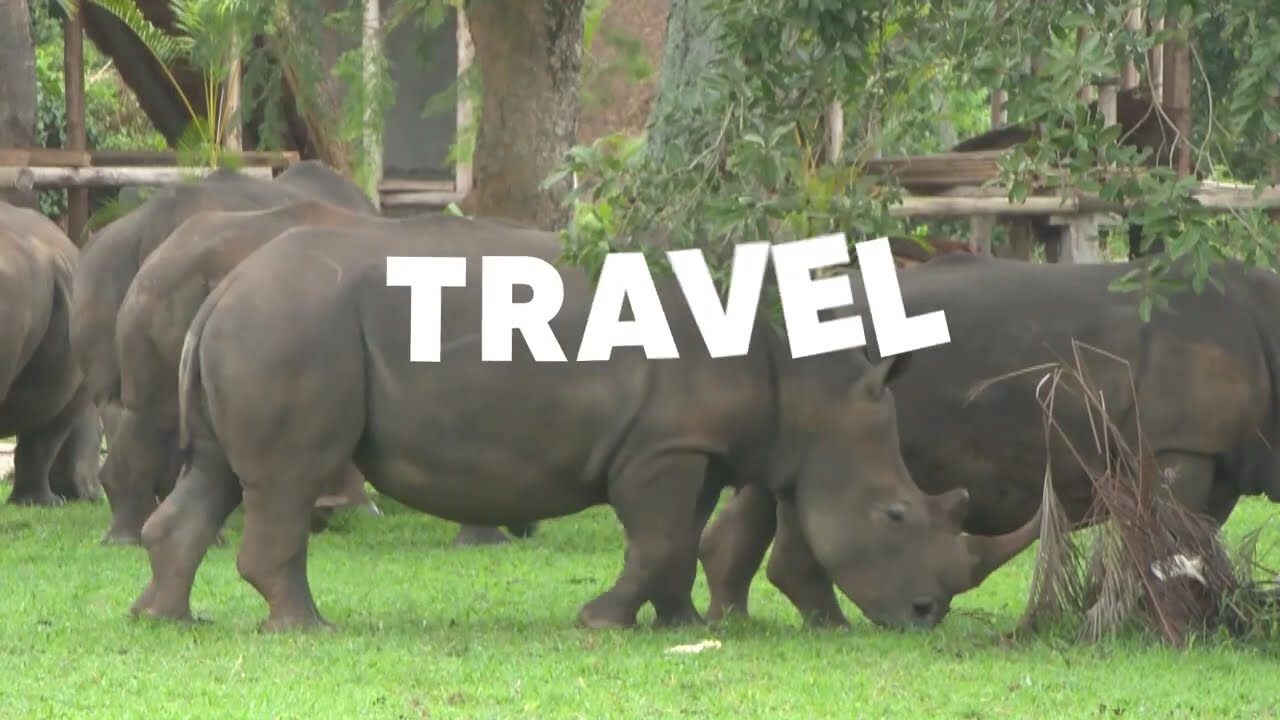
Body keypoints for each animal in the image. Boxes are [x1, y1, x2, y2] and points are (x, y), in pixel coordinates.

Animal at [700, 252, 1280, 627]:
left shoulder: (1213, 456)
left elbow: (1189, 538)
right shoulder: (1181, 444)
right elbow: (1165, 537)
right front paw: (1131, 624)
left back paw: (734, 623)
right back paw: (818, 625)